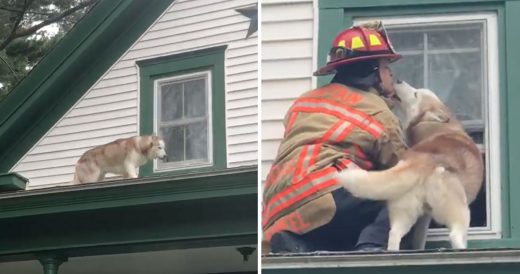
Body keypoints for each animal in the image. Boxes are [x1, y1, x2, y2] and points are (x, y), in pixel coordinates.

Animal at [338, 81, 484, 250]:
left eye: (415, 94)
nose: (398, 80)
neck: (437, 126)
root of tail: (421, 161)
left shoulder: (424, 217)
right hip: (459, 212)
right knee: (455, 235)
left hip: (405, 211)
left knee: (394, 234)